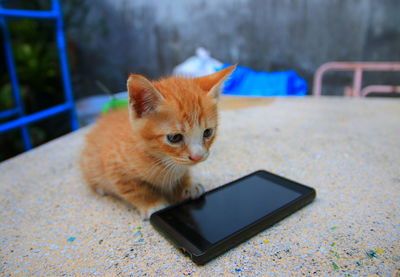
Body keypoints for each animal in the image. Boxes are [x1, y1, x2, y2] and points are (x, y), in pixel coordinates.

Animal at [79, 64, 234, 218]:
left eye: (207, 132)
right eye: (174, 138)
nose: (198, 156)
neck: (163, 160)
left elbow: (183, 176)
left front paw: (187, 187)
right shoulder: (115, 168)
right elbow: (136, 190)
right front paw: (152, 204)